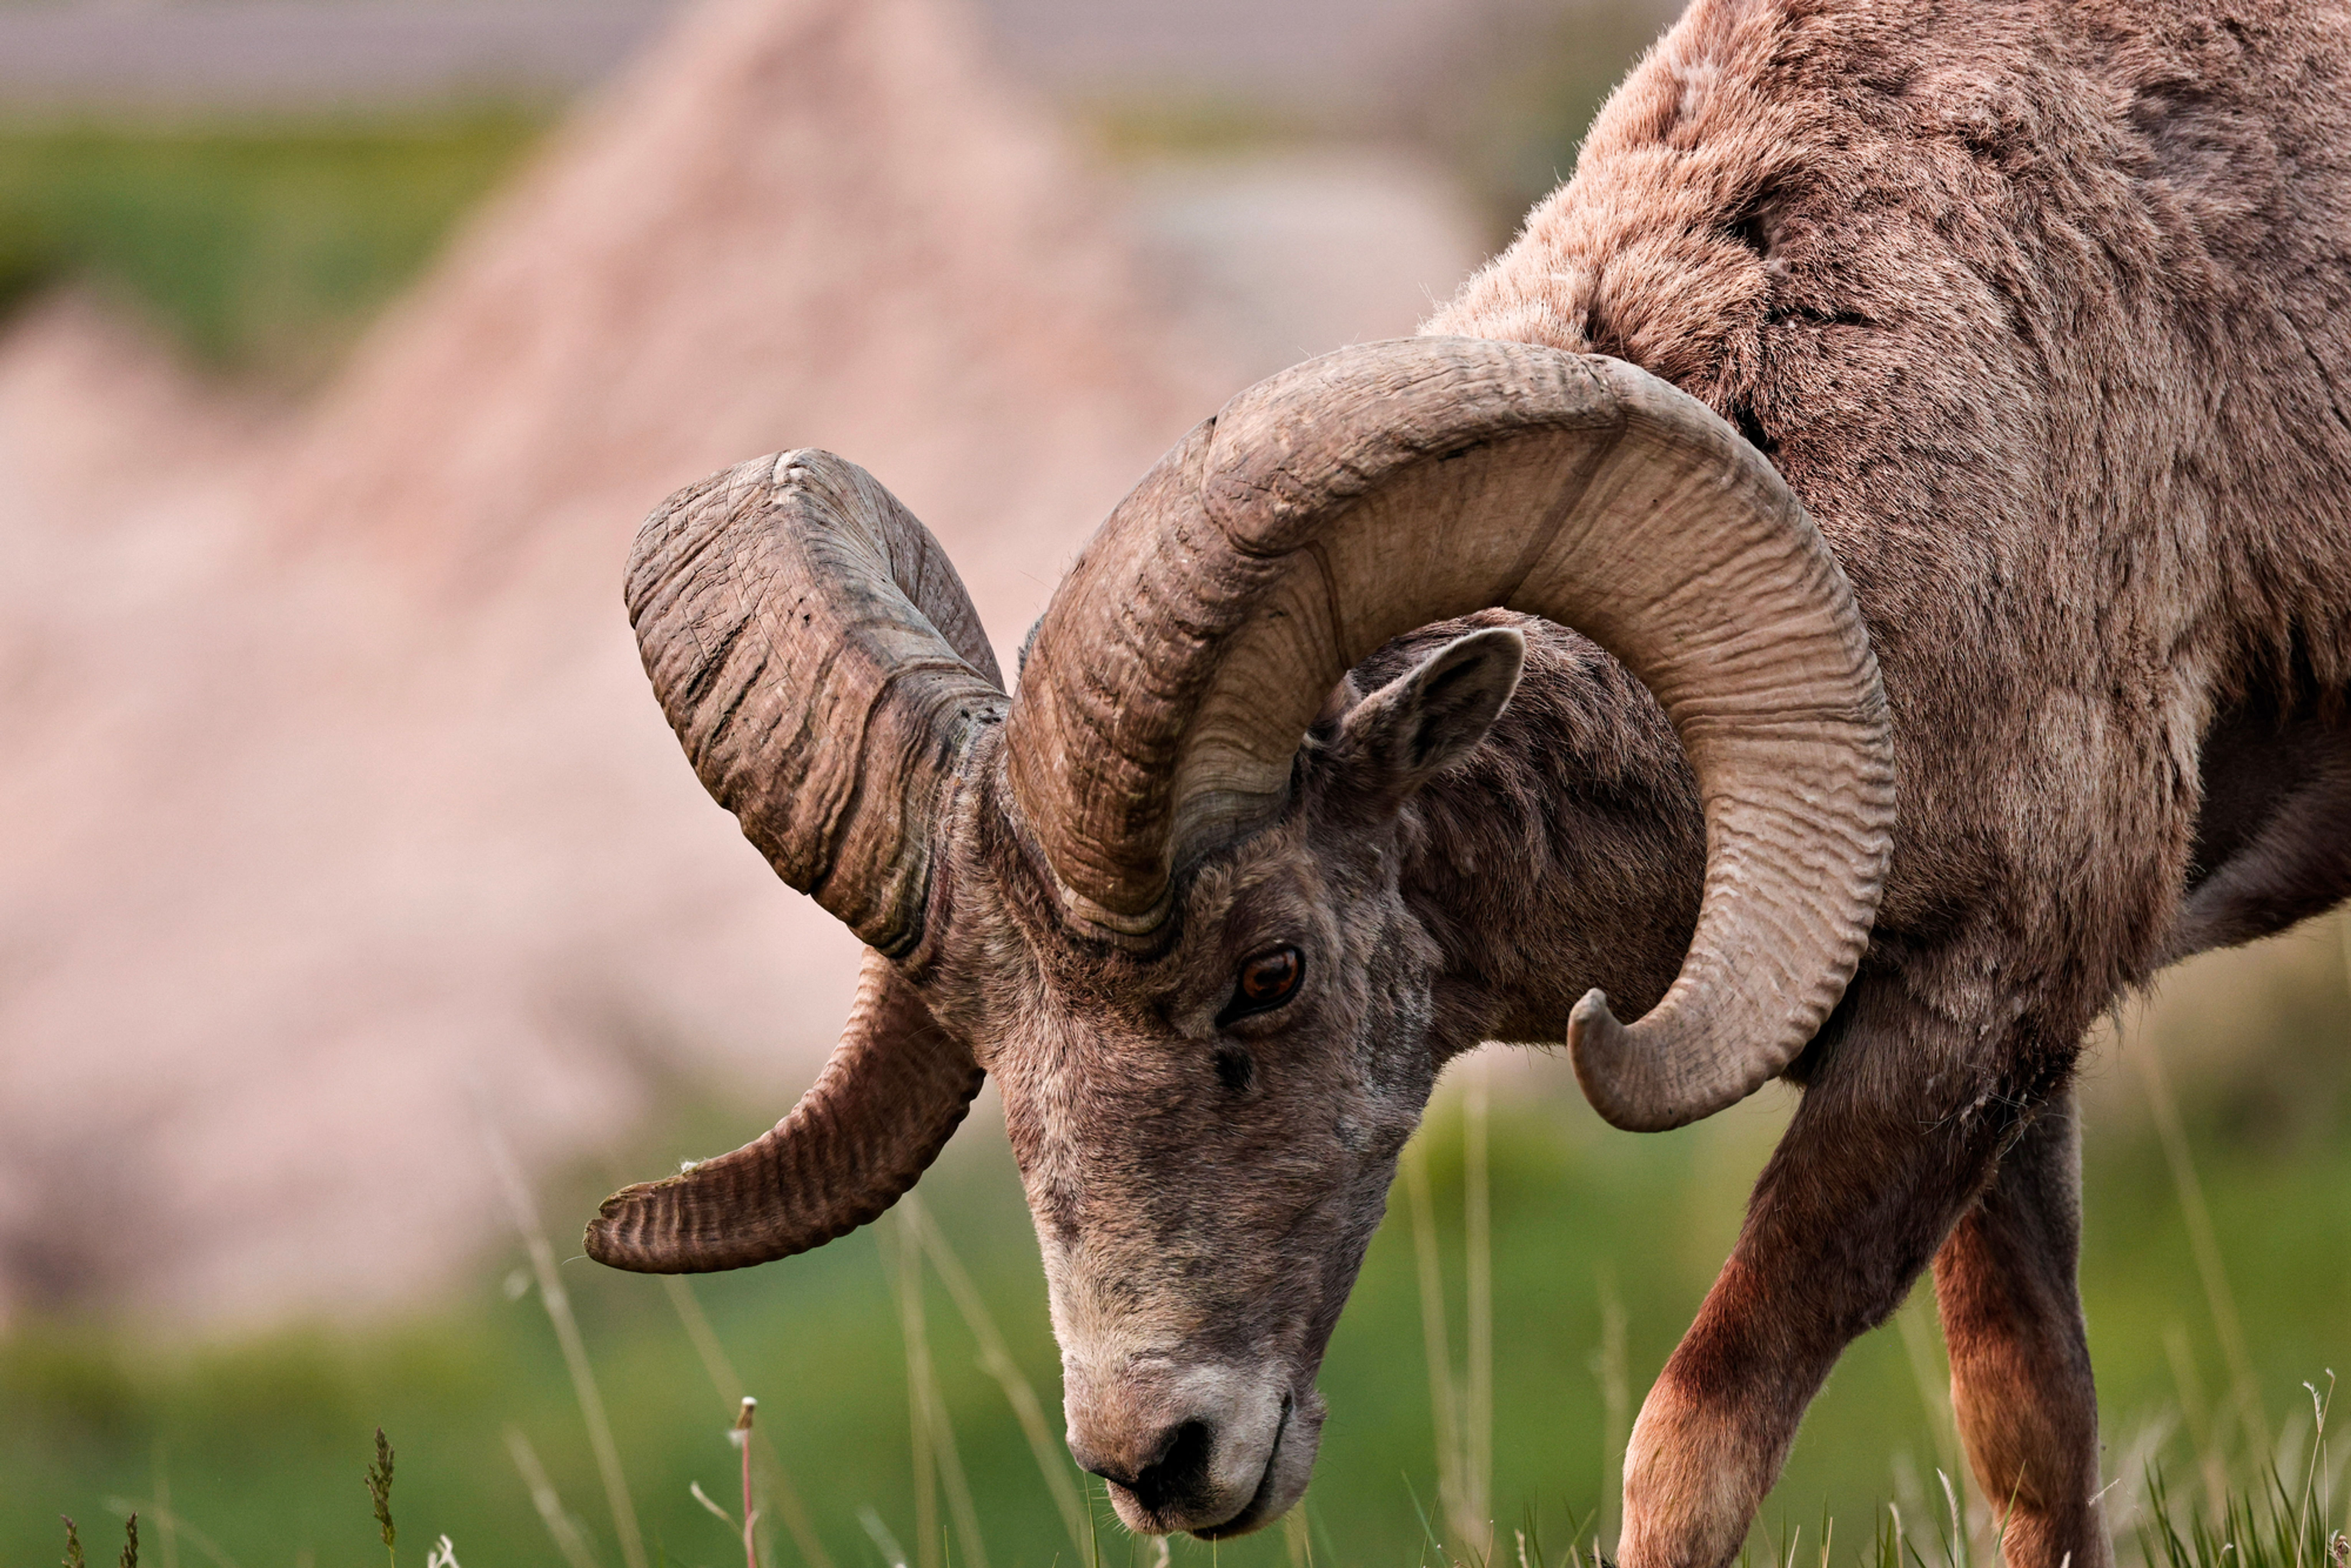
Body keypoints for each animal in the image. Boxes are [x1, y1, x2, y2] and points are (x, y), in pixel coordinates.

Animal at [583, 2, 2351, 1564]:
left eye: (1272, 970)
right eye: (985, 1035)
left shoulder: (1969, 1021)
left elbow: (1695, 1444)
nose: (1159, 1457)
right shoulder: (1998, 1077)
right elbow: (2033, 1433)